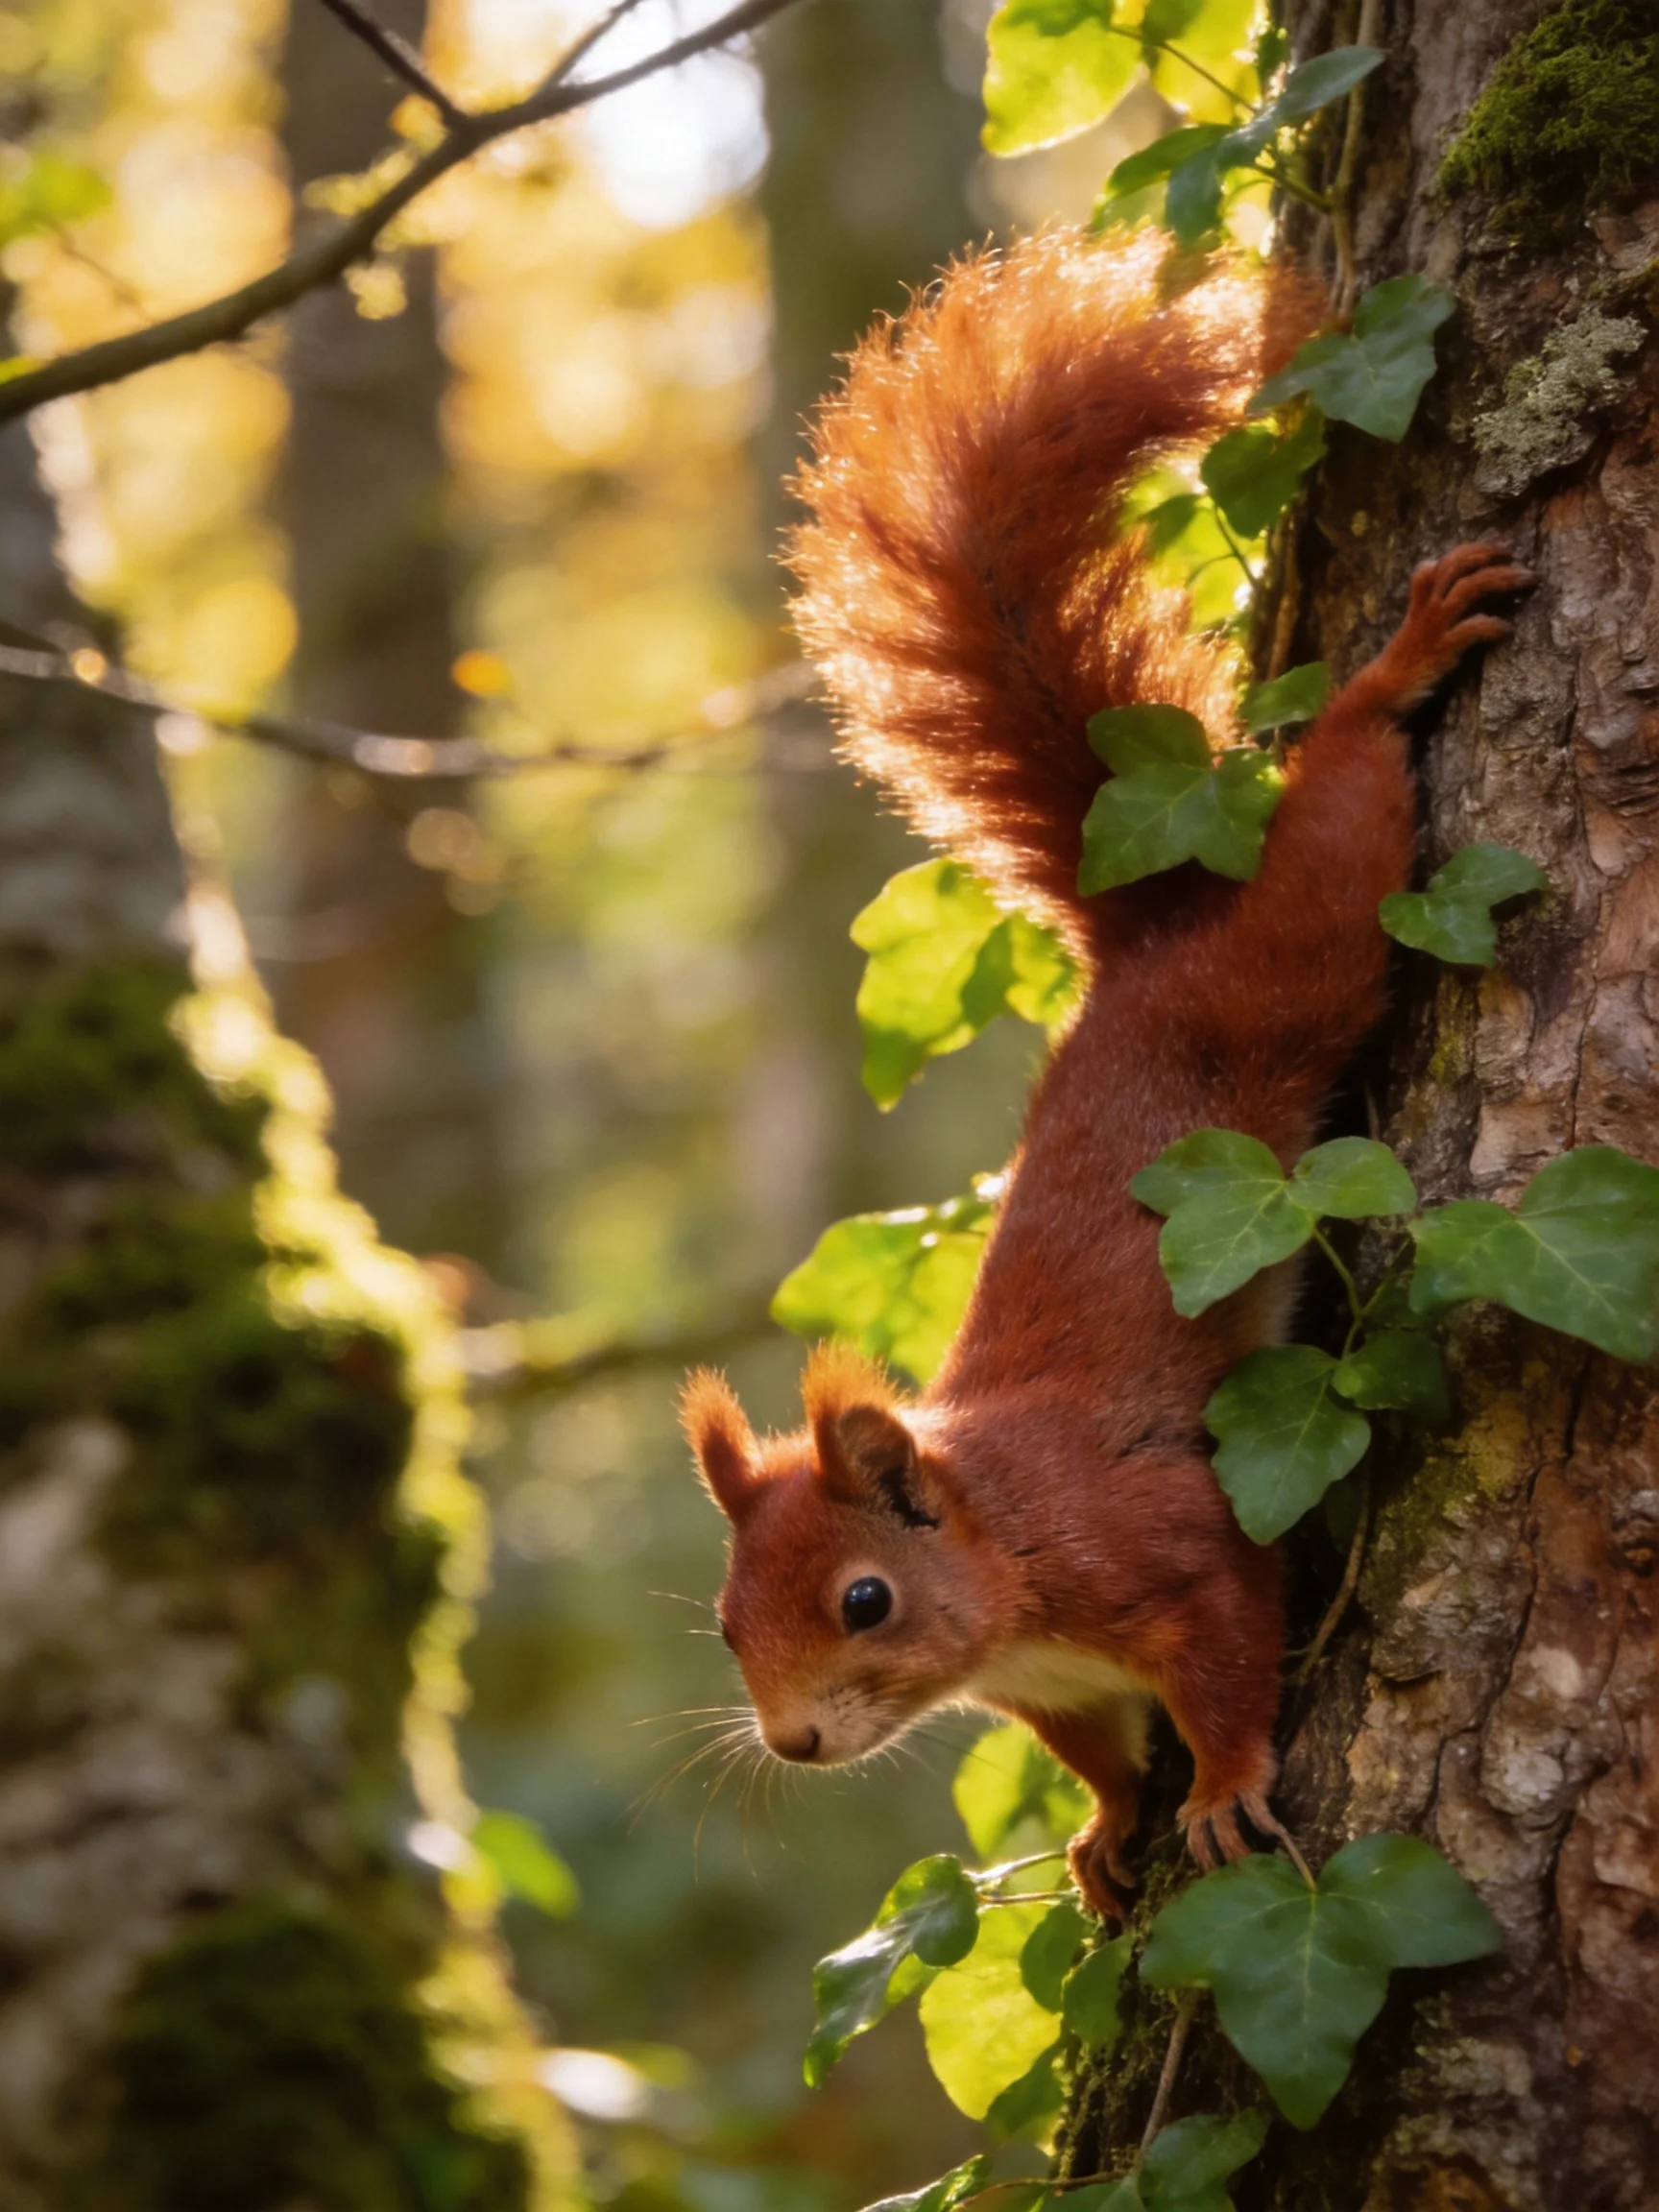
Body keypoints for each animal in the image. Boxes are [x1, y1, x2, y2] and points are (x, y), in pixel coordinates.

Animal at [680, 227, 1528, 1918]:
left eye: (864, 1601)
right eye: (727, 1622)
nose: (794, 1743)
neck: (1005, 1563)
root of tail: (1149, 924)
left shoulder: (1177, 1547)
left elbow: (1234, 1661)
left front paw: (1223, 1792)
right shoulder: (1058, 1690)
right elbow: (1098, 1756)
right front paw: (1102, 1834)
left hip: (1304, 945)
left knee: (1343, 809)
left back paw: (1391, 671)